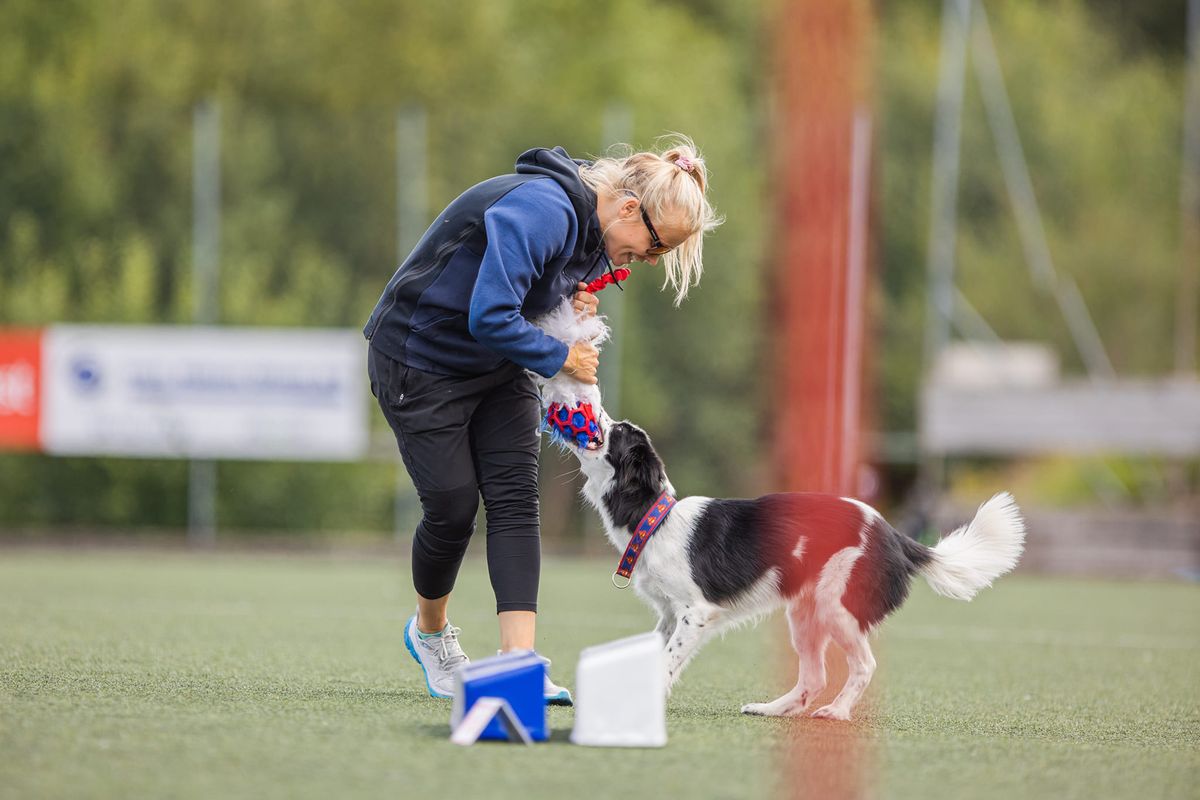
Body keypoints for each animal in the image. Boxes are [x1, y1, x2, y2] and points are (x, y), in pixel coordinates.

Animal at [568, 417, 1022, 724]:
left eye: (616, 431)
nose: (596, 411)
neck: (655, 519)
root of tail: (895, 535)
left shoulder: (696, 614)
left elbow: (665, 663)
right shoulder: (667, 616)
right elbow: (653, 657)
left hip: (837, 609)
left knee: (863, 666)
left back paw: (837, 712)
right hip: (804, 615)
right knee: (814, 678)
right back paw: (772, 709)